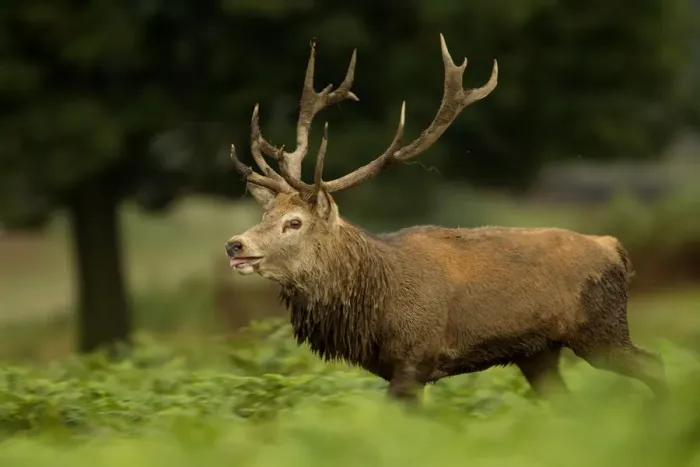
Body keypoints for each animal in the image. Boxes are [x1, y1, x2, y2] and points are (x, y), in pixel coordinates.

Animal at [224, 33, 668, 404]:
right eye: (266, 213)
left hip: (602, 328)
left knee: (655, 364)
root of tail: (614, 248)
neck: (375, 307)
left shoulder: (415, 359)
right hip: (539, 352)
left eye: (294, 222)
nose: (235, 244)